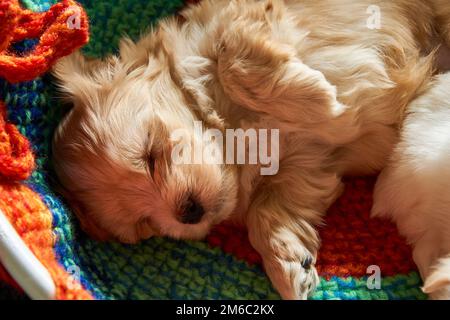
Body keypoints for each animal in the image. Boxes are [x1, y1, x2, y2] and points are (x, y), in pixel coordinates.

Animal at [51, 0, 450, 300]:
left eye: (149, 155)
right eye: (145, 223)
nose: (188, 212)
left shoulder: (245, 19)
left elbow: (231, 54)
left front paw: (321, 101)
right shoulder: (307, 163)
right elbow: (269, 210)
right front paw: (287, 263)